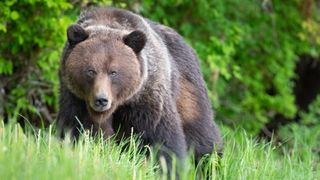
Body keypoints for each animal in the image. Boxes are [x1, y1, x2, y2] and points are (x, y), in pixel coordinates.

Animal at [57, 7, 222, 165]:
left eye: (113, 72)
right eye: (90, 70)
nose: (101, 100)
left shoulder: (146, 96)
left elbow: (160, 136)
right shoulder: (76, 98)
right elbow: (79, 129)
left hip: (187, 88)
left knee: (201, 132)